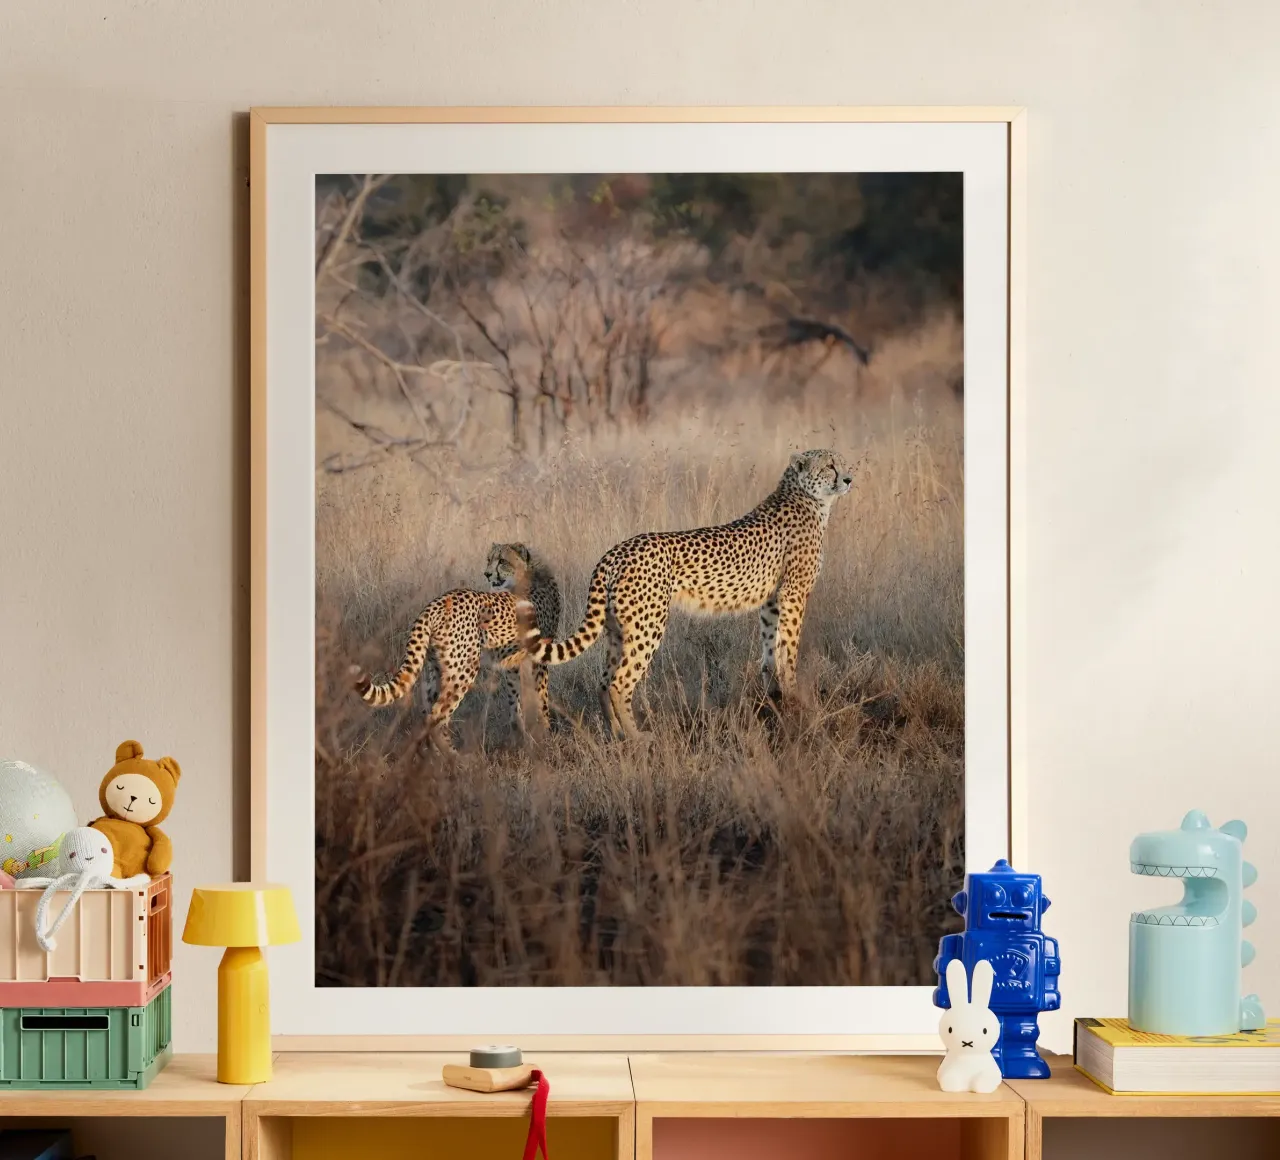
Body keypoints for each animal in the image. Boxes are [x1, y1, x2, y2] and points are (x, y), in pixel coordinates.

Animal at [352, 543, 561, 752]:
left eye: (502, 560)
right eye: (489, 560)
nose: (487, 574)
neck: (527, 574)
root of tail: (435, 604)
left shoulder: (513, 663)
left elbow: (515, 699)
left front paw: (523, 736)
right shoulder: (537, 657)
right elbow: (541, 697)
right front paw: (545, 735)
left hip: (434, 668)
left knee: (427, 712)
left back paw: (433, 754)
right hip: (463, 668)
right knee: (437, 716)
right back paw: (454, 756)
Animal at [516, 449, 854, 738]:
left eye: (843, 463)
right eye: (830, 466)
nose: (849, 478)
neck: (807, 498)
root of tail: (617, 550)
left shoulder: (771, 600)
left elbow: (772, 649)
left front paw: (776, 696)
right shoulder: (794, 594)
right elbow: (790, 647)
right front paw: (796, 697)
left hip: (617, 628)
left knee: (602, 681)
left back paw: (616, 734)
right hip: (648, 624)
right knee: (619, 682)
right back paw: (637, 738)